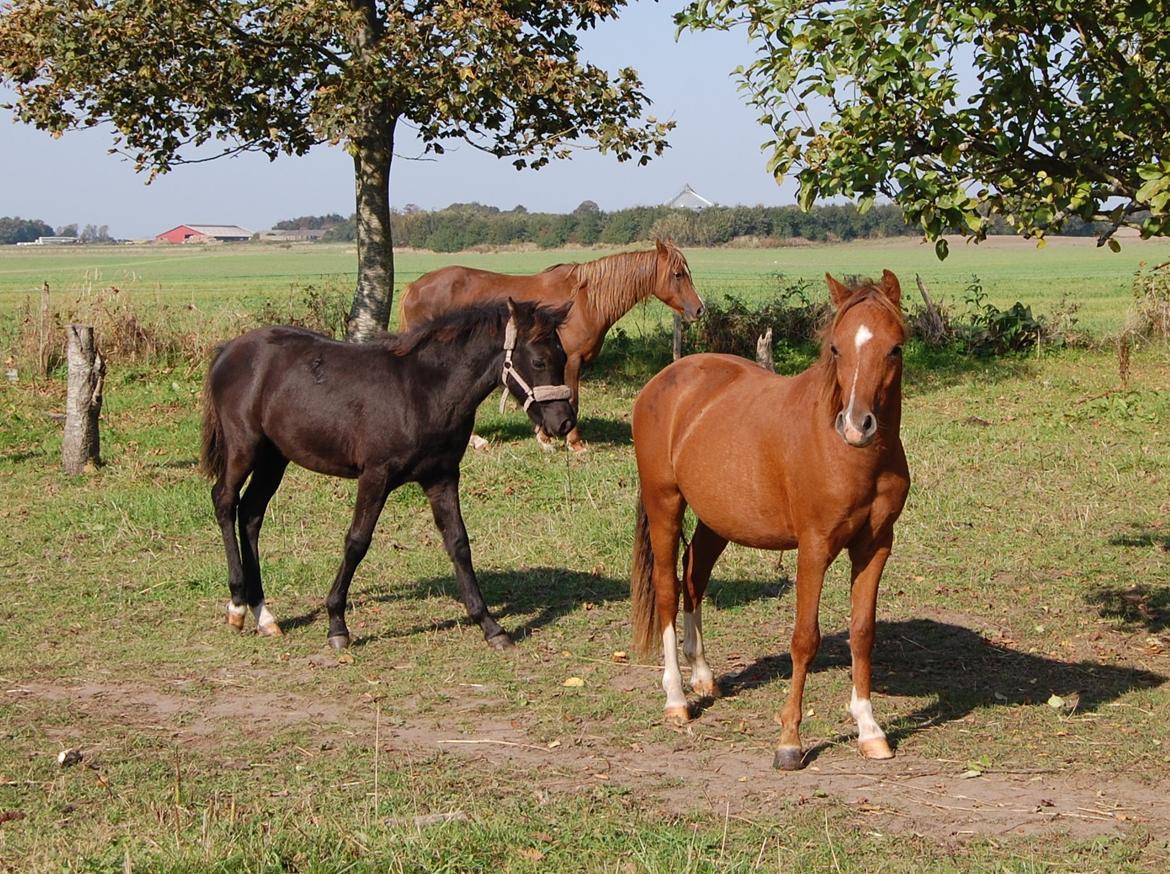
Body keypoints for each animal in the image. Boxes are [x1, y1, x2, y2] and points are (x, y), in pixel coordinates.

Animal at [199, 298, 575, 651]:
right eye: (539, 362)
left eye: (563, 357)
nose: (564, 422)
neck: (423, 391)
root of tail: (228, 349)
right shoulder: (375, 477)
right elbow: (356, 542)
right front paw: (337, 625)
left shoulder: (442, 477)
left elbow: (458, 543)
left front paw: (491, 627)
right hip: (244, 447)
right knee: (224, 501)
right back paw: (237, 606)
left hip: (275, 457)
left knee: (251, 514)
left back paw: (264, 615)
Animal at [398, 239, 705, 452]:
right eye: (678, 274)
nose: (699, 309)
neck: (585, 300)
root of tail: (414, 287)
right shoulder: (571, 360)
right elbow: (572, 399)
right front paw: (572, 442)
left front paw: (544, 436)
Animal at [629, 270, 910, 770]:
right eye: (836, 347)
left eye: (894, 347)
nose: (857, 425)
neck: (853, 457)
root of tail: (665, 380)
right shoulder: (814, 548)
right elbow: (805, 638)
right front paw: (790, 741)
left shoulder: (875, 546)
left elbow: (862, 633)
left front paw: (869, 729)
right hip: (665, 505)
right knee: (667, 588)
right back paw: (677, 699)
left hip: (717, 520)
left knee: (693, 576)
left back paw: (704, 676)